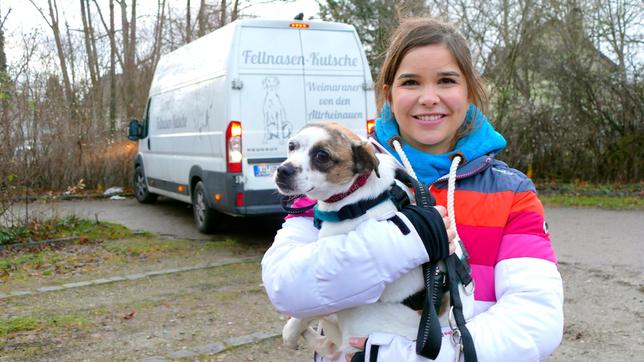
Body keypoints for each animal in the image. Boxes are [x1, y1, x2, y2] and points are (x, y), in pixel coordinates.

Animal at [272, 123, 472, 360]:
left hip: (361, 314)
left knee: (333, 345)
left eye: (322, 156)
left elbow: (310, 312)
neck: (356, 191)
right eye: (292, 146)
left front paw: (291, 332)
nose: (283, 170)